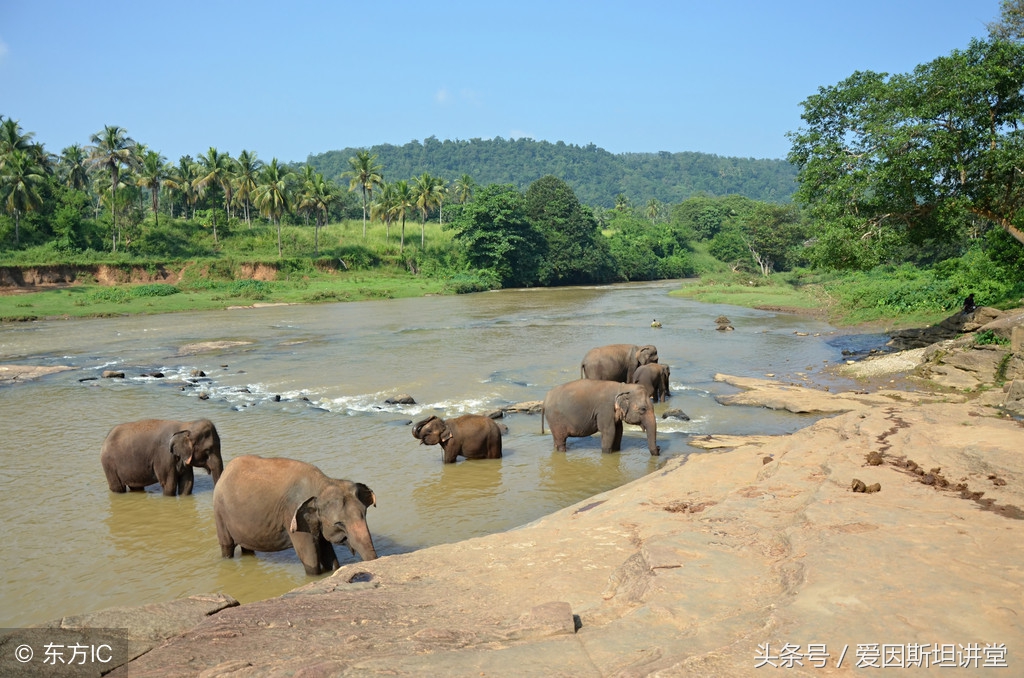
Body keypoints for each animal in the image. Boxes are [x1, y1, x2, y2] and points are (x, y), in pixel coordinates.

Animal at [211, 454, 376, 577]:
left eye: (365, 514)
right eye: (340, 523)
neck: (324, 483)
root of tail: (225, 471)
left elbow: (328, 554)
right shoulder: (293, 516)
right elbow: (310, 558)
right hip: (219, 512)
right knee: (227, 545)